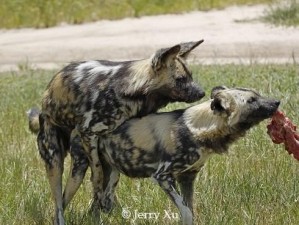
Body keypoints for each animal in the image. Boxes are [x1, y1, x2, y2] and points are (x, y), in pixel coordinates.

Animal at [30, 40, 206, 225]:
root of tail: (43, 107)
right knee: (59, 204)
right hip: (58, 163)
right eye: (180, 79)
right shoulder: (88, 133)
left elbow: (107, 184)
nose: (202, 92)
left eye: (190, 76)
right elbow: (98, 177)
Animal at [86, 86, 278, 225]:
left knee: (103, 202)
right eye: (251, 100)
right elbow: (186, 212)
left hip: (111, 174)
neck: (198, 129)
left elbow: (190, 208)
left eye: (257, 94)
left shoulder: (187, 177)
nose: (277, 101)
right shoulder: (162, 176)